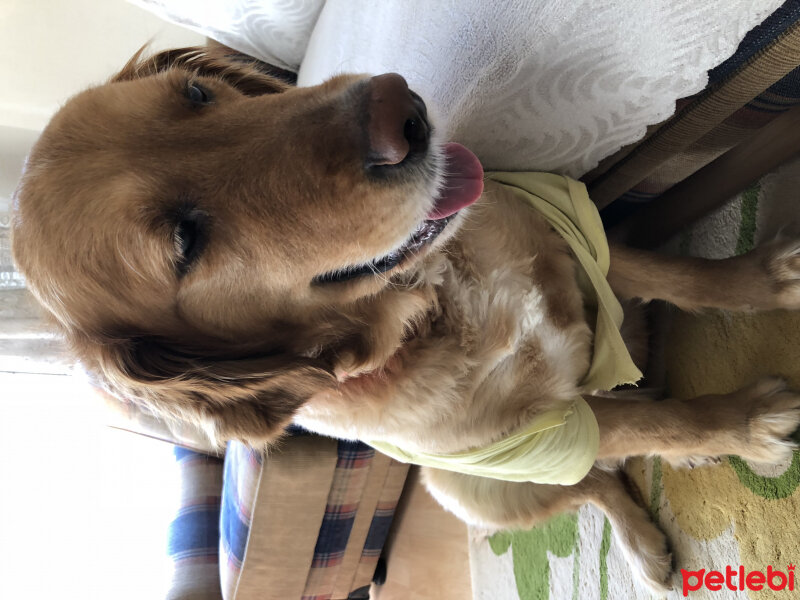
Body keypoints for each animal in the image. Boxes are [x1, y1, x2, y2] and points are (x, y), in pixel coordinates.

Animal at [10, 47, 800, 592]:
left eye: (198, 92)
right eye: (184, 242)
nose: (398, 109)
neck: (436, 300)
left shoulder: (570, 234)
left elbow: (676, 276)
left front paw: (764, 280)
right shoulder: (533, 436)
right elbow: (659, 422)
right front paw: (745, 426)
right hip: (477, 490)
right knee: (595, 480)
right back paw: (641, 541)